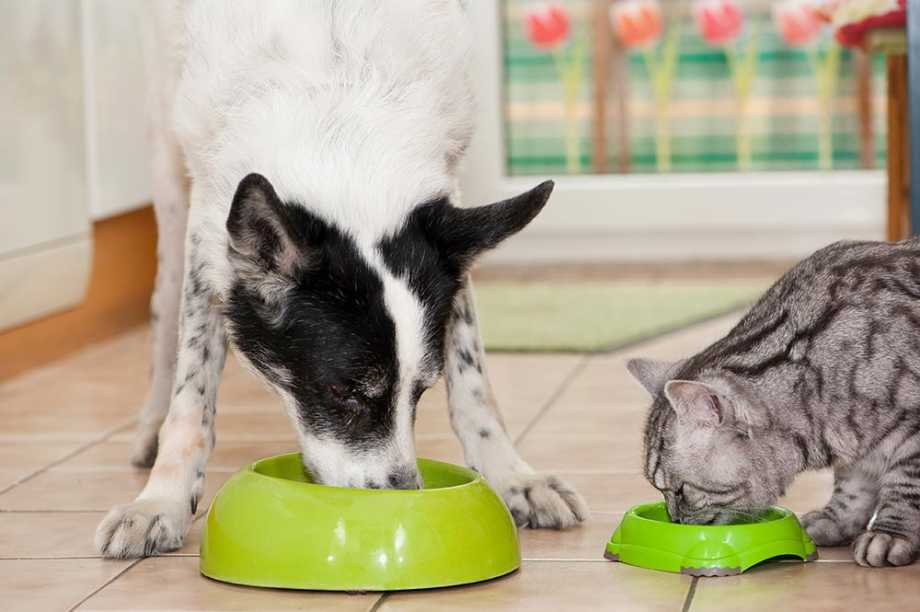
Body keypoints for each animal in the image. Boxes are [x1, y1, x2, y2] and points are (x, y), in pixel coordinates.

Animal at [97, 0, 584, 560]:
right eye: (342, 392)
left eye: (421, 391)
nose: (403, 498)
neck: (339, 102)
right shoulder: (207, 226)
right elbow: (191, 396)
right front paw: (161, 501)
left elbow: (473, 381)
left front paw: (513, 477)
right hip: (168, 165)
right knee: (162, 305)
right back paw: (149, 425)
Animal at [628, 237, 920, 568]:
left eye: (680, 491)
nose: (675, 521)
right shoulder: (856, 447)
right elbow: (851, 489)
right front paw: (835, 521)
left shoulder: (911, 437)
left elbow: (903, 488)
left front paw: (889, 534)